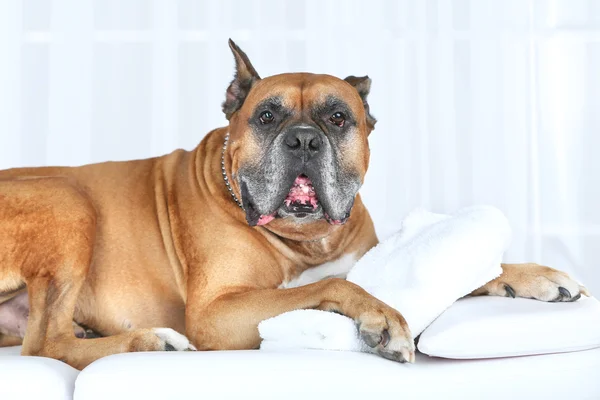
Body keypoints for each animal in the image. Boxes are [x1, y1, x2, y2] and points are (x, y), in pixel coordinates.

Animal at [0, 39, 588, 368]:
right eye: (266, 117)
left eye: (338, 118)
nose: (303, 139)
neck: (305, 242)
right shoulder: (217, 315)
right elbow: (337, 283)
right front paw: (381, 316)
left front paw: (534, 276)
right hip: (68, 200)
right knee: (44, 346)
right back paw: (152, 342)